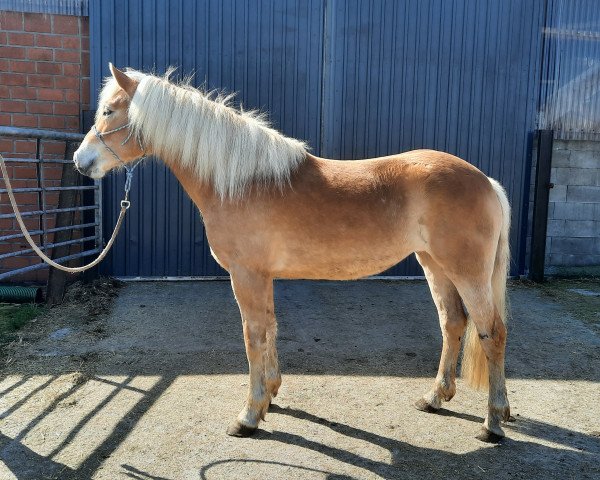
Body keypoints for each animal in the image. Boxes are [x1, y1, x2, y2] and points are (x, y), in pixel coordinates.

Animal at [74, 63, 510, 442]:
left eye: (109, 110)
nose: (81, 161)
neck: (241, 181)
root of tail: (486, 181)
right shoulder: (261, 277)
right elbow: (270, 329)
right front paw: (270, 394)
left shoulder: (246, 274)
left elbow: (253, 335)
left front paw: (249, 416)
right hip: (434, 265)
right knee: (453, 323)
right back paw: (435, 397)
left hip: (466, 271)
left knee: (492, 331)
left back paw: (493, 423)